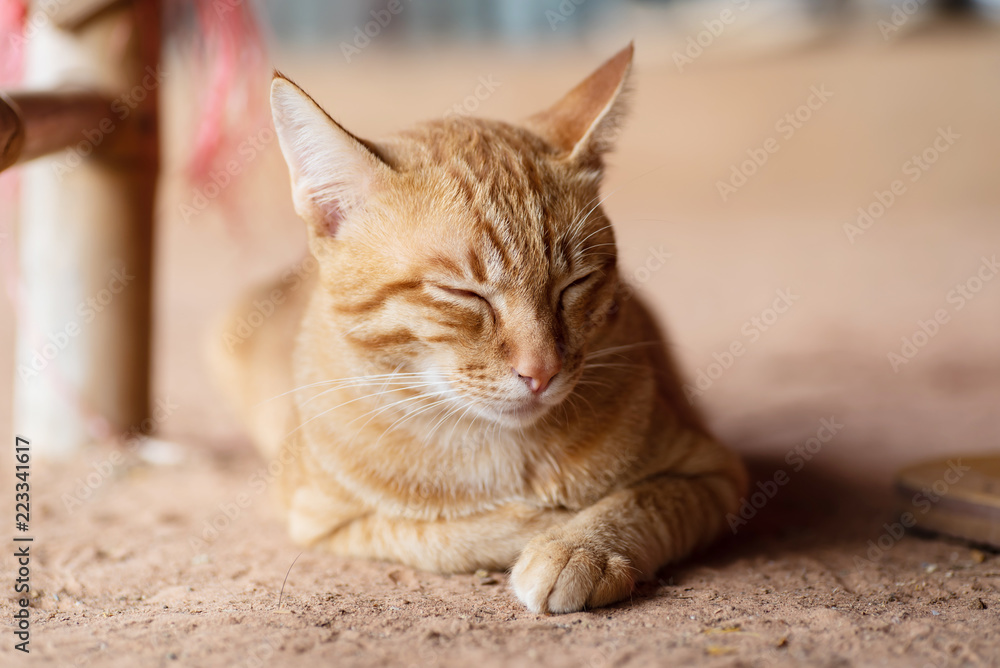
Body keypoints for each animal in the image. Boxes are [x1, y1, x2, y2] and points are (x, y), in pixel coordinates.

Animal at [219, 44, 752, 612]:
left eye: (574, 284)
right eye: (463, 294)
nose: (542, 372)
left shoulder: (714, 472)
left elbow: (640, 500)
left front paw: (580, 545)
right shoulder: (325, 522)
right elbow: (445, 534)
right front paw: (542, 525)